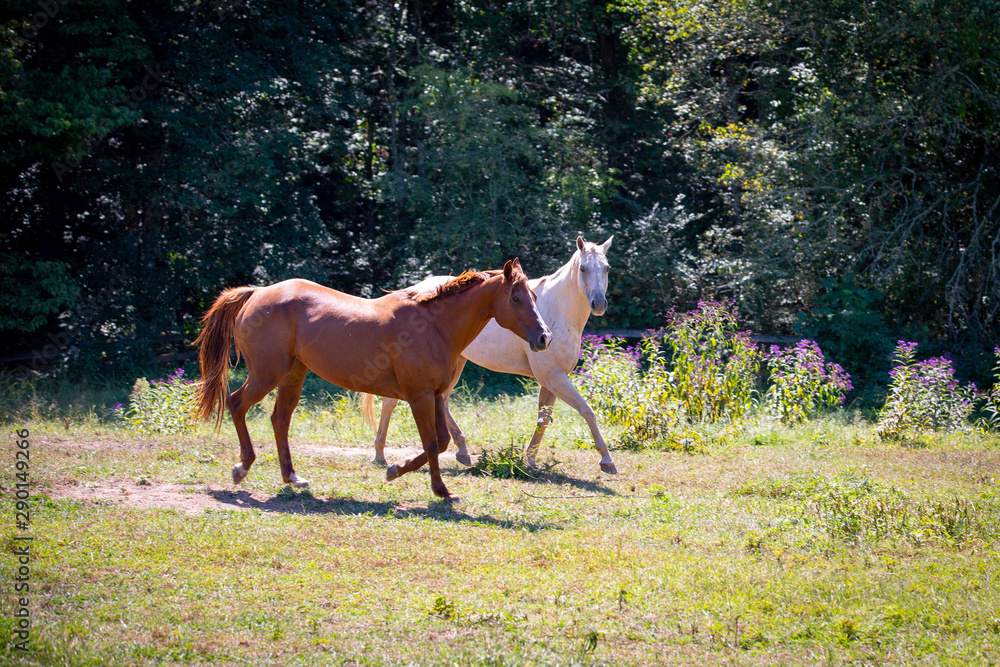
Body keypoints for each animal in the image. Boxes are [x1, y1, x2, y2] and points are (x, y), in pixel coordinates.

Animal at [194, 259, 552, 501]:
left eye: (535, 296)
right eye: (516, 298)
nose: (545, 337)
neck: (433, 326)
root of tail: (257, 293)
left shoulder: (436, 396)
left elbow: (442, 442)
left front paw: (398, 471)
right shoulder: (420, 396)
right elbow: (431, 443)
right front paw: (436, 488)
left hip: (292, 375)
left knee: (279, 419)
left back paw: (293, 478)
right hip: (267, 373)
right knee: (237, 404)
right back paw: (242, 467)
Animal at [361, 236, 617, 475]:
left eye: (606, 268)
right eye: (583, 268)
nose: (598, 304)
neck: (558, 311)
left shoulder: (552, 378)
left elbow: (543, 419)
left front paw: (530, 460)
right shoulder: (552, 376)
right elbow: (587, 410)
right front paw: (606, 460)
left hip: (456, 362)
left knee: (442, 402)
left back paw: (462, 452)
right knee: (391, 402)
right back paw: (380, 454)